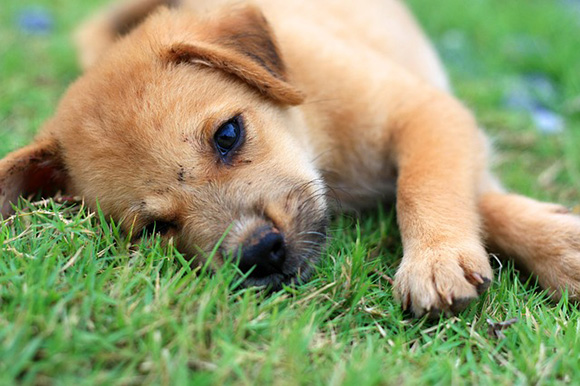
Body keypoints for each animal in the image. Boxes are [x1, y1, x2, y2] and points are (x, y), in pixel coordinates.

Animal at [1, 0, 580, 316]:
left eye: (228, 135)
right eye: (154, 228)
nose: (259, 253)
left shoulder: (425, 111)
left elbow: (426, 184)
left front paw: (435, 260)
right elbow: (473, 197)